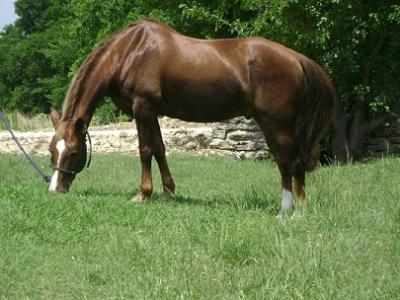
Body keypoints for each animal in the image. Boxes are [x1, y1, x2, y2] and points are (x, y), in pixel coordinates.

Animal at [50, 18, 338, 213]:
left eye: (74, 152)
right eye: (52, 151)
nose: (55, 189)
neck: (130, 52)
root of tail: (296, 58)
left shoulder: (142, 107)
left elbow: (145, 150)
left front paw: (143, 194)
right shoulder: (152, 111)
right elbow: (159, 149)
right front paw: (168, 191)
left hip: (277, 123)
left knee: (291, 161)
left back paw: (292, 210)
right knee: (285, 161)